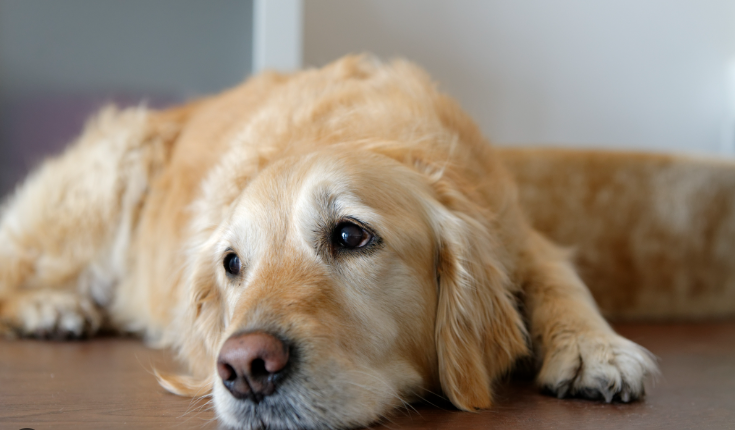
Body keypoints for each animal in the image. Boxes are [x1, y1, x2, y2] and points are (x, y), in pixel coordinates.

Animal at [10, 55, 732, 428]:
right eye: (232, 264)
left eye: (351, 235)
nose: (244, 366)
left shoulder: (519, 235)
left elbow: (562, 278)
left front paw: (594, 349)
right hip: (107, 177)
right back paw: (52, 308)